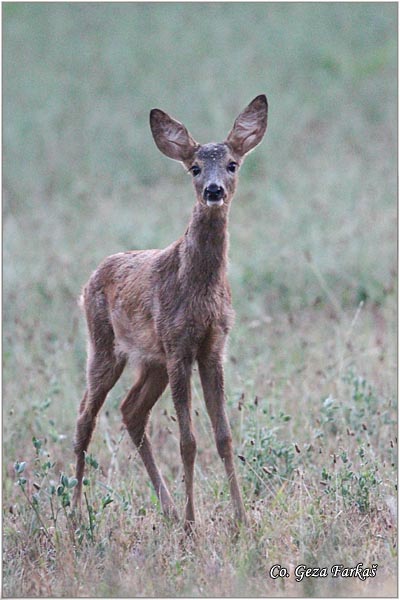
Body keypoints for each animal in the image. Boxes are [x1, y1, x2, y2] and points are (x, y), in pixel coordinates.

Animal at [74, 92, 268, 524]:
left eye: (232, 164)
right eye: (194, 167)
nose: (213, 190)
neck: (199, 287)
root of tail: (90, 277)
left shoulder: (211, 346)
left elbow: (223, 437)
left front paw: (241, 520)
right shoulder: (179, 346)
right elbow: (187, 441)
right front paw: (194, 524)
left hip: (152, 360)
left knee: (131, 411)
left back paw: (167, 509)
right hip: (104, 345)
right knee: (84, 418)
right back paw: (74, 513)